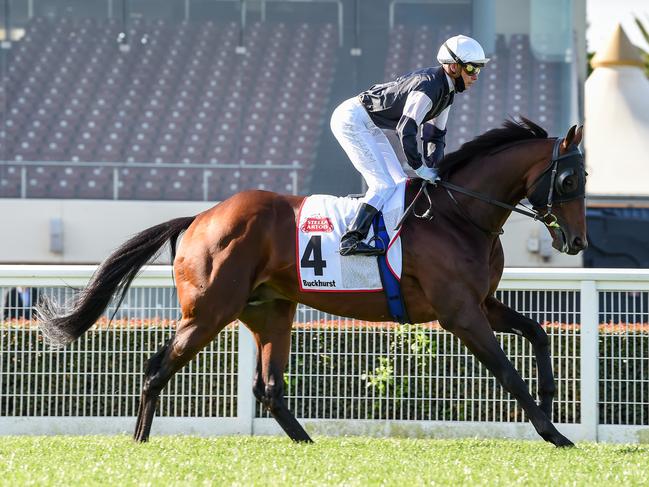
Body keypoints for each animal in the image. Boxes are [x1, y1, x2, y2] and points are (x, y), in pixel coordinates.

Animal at [39, 119, 588, 450]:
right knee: (158, 369)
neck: (458, 213)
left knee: (269, 387)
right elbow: (507, 372)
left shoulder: (482, 302)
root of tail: (199, 218)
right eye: (568, 181)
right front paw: (553, 433)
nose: (578, 241)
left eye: (584, 178)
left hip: (269, 311)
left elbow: (538, 332)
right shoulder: (459, 313)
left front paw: (551, 398)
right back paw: (139, 441)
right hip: (209, 312)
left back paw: (306, 442)